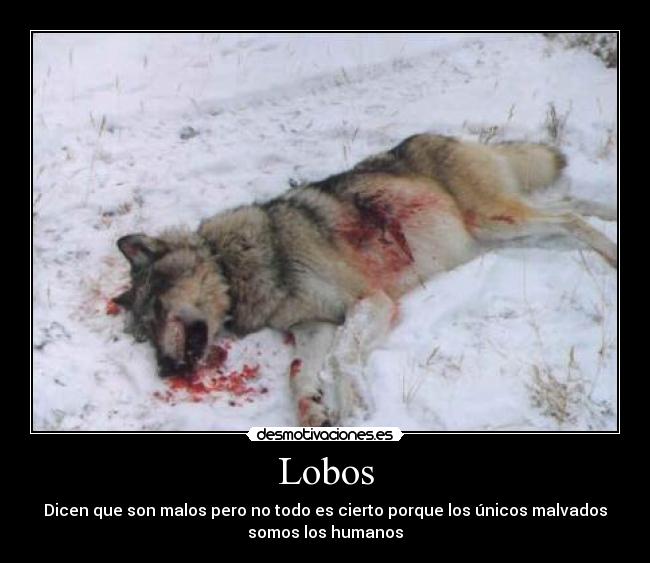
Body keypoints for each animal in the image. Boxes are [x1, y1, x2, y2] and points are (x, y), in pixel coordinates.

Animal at [114, 133, 617, 426]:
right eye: (143, 335)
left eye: (158, 310)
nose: (164, 370)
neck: (239, 265)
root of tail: (447, 135)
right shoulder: (314, 326)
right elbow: (298, 372)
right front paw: (311, 408)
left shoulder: (370, 301)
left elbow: (341, 357)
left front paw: (352, 401)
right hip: (502, 225)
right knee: (572, 205)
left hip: (496, 220)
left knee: (570, 217)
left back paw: (611, 256)